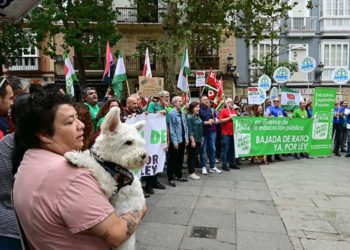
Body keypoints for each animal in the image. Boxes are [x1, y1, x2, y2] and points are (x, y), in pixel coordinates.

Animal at [64, 107, 148, 250]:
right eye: (128, 142)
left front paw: (75, 156)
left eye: (140, 143)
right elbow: (93, 159)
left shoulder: (109, 183)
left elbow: (94, 165)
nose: (143, 155)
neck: (110, 162)